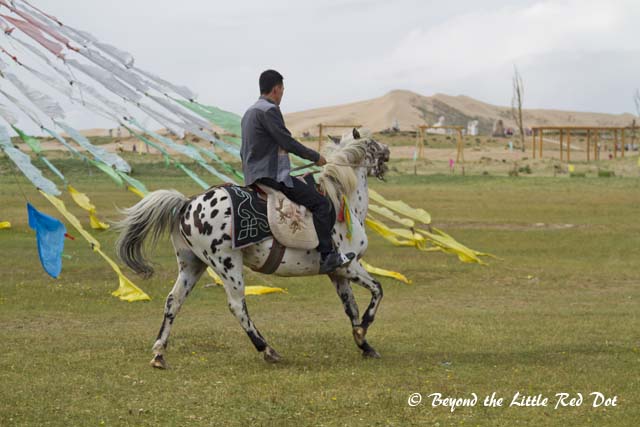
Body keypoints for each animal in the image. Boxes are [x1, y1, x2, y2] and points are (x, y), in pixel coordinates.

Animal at [115, 130, 390, 369]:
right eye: (372, 144)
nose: (387, 152)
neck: (341, 199)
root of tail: (187, 203)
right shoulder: (348, 264)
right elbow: (378, 289)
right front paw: (363, 329)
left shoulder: (337, 273)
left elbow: (351, 307)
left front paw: (363, 343)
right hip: (228, 265)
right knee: (237, 306)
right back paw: (267, 349)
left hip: (192, 264)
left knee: (174, 301)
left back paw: (159, 354)